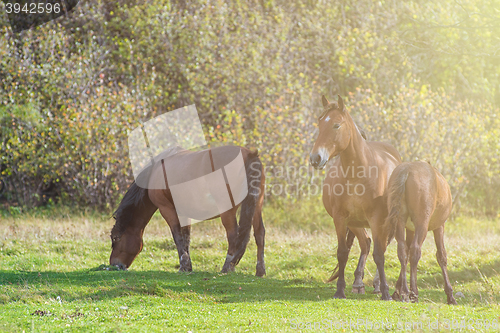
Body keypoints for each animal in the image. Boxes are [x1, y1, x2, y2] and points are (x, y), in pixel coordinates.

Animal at [109, 145, 266, 274]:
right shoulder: (184, 213)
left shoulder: (167, 209)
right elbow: (186, 238)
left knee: (233, 235)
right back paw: (260, 271)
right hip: (257, 206)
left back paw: (227, 267)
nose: (114, 265)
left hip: (227, 210)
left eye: (116, 238)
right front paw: (188, 266)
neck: (156, 170)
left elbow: (177, 237)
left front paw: (183, 266)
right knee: (259, 234)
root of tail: (249, 154)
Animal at [308, 94, 402, 300]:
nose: (315, 158)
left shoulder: (376, 219)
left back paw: (378, 284)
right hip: (356, 223)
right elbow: (342, 253)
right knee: (365, 243)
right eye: (319, 123)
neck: (358, 174)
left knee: (385, 246)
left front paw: (385, 292)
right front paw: (340, 290)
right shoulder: (340, 218)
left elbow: (379, 255)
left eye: (336, 125)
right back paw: (358, 283)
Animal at [386, 161, 458, 304]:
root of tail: (407, 170)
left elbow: (406, 254)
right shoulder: (439, 226)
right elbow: (441, 256)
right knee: (415, 250)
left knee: (402, 250)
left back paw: (405, 292)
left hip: (400, 222)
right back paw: (413, 293)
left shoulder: (409, 229)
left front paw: (397, 291)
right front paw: (450, 294)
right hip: (422, 224)